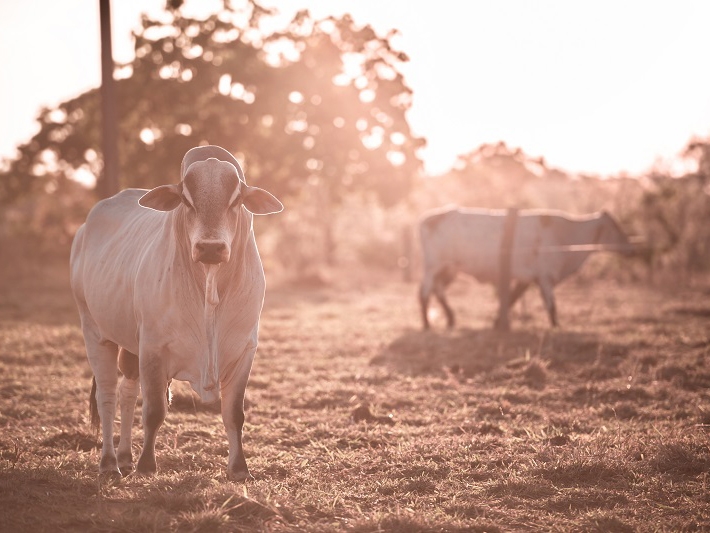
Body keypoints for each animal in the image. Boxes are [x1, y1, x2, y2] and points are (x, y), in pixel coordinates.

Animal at [70, 145, 284, 482]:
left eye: (236, 199)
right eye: (186, 199)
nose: (210, 248)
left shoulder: (244, 350)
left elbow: (234, 414)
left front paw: (239, 469)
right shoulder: (153, 348)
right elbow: (154, 411)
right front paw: (147, 465)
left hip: (130, 345)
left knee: (126, 391)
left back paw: (124, 458)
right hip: (95, 331)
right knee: (107, 397)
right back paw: (109, 463)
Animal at [420, 207, 632, 328]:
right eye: (615, 227)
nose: (629, 246)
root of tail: (429, 218)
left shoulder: (528, 278)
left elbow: (512, 299)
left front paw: (498, 322)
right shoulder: (544, 276)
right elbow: (551, 305)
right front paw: (556, 326)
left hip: (449, 270)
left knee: (438, 291)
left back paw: (450, 319)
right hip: (433, 267)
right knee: (424, 294)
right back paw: (427, 324)